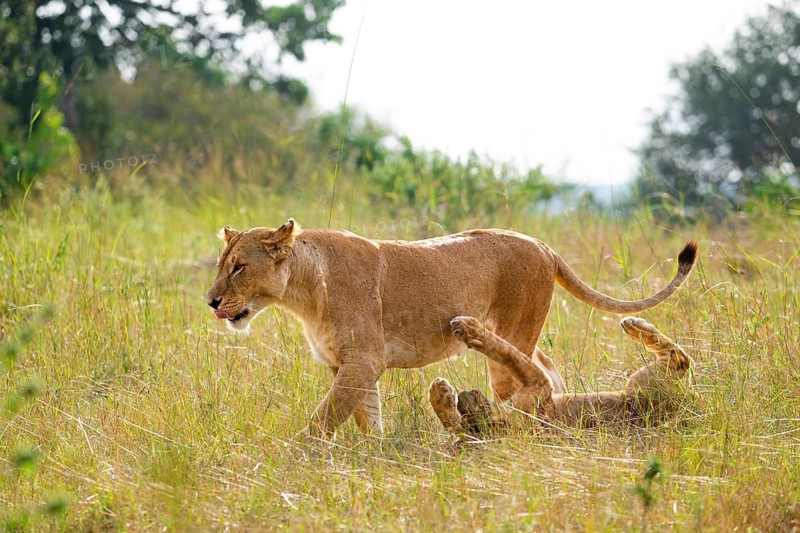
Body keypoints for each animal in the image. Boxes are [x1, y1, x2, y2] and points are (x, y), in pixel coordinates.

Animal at [429, 316, 693, 437]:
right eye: (470, 412)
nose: (465, 396)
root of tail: (684, 409)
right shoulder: (539, 385)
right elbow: (507, 351)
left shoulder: (539, 384)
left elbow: (507, 351)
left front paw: (438, 392)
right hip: (642, 384)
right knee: (680, 358)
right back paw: (635, 325)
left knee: (679, 356)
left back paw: (633, 325)